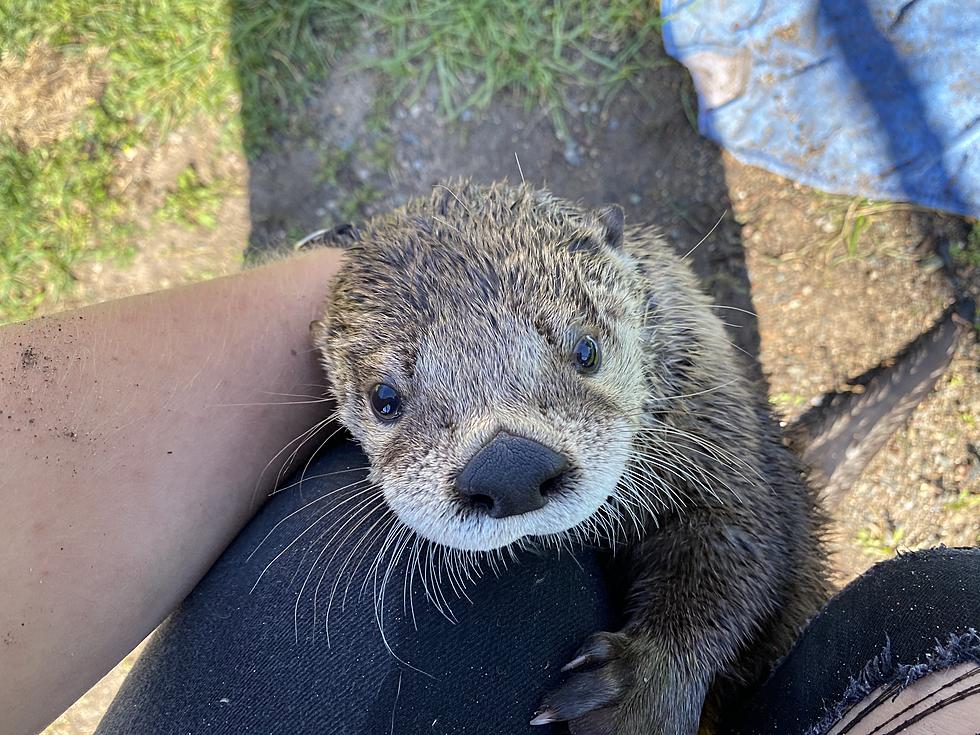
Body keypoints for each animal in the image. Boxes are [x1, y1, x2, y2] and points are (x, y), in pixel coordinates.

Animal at [308, 180, 828, 735]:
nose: (510, 470)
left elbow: (741, 550)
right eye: (384, 399)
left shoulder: (722, 437)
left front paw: (637, 685)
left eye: (587, 351)